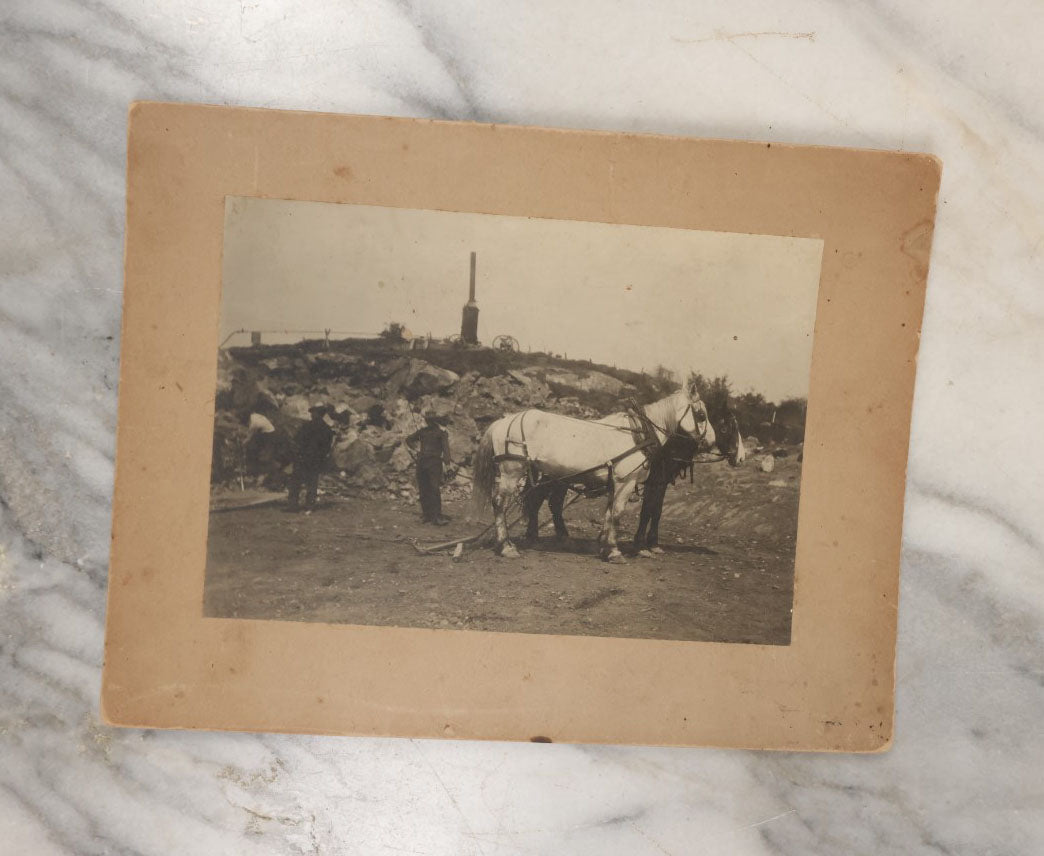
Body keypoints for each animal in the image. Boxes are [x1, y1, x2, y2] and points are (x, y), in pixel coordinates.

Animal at [473, 388, 718, 563]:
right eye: (701, 415)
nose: (712, 441)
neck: (639, 433)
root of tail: (504, 421)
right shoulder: (626, 482)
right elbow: (618, 514)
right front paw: (614, 551)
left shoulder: (615, 483)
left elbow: (609, 514)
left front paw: (605, 548)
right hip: (511, 471)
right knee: (500, 503)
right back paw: (506, 546)